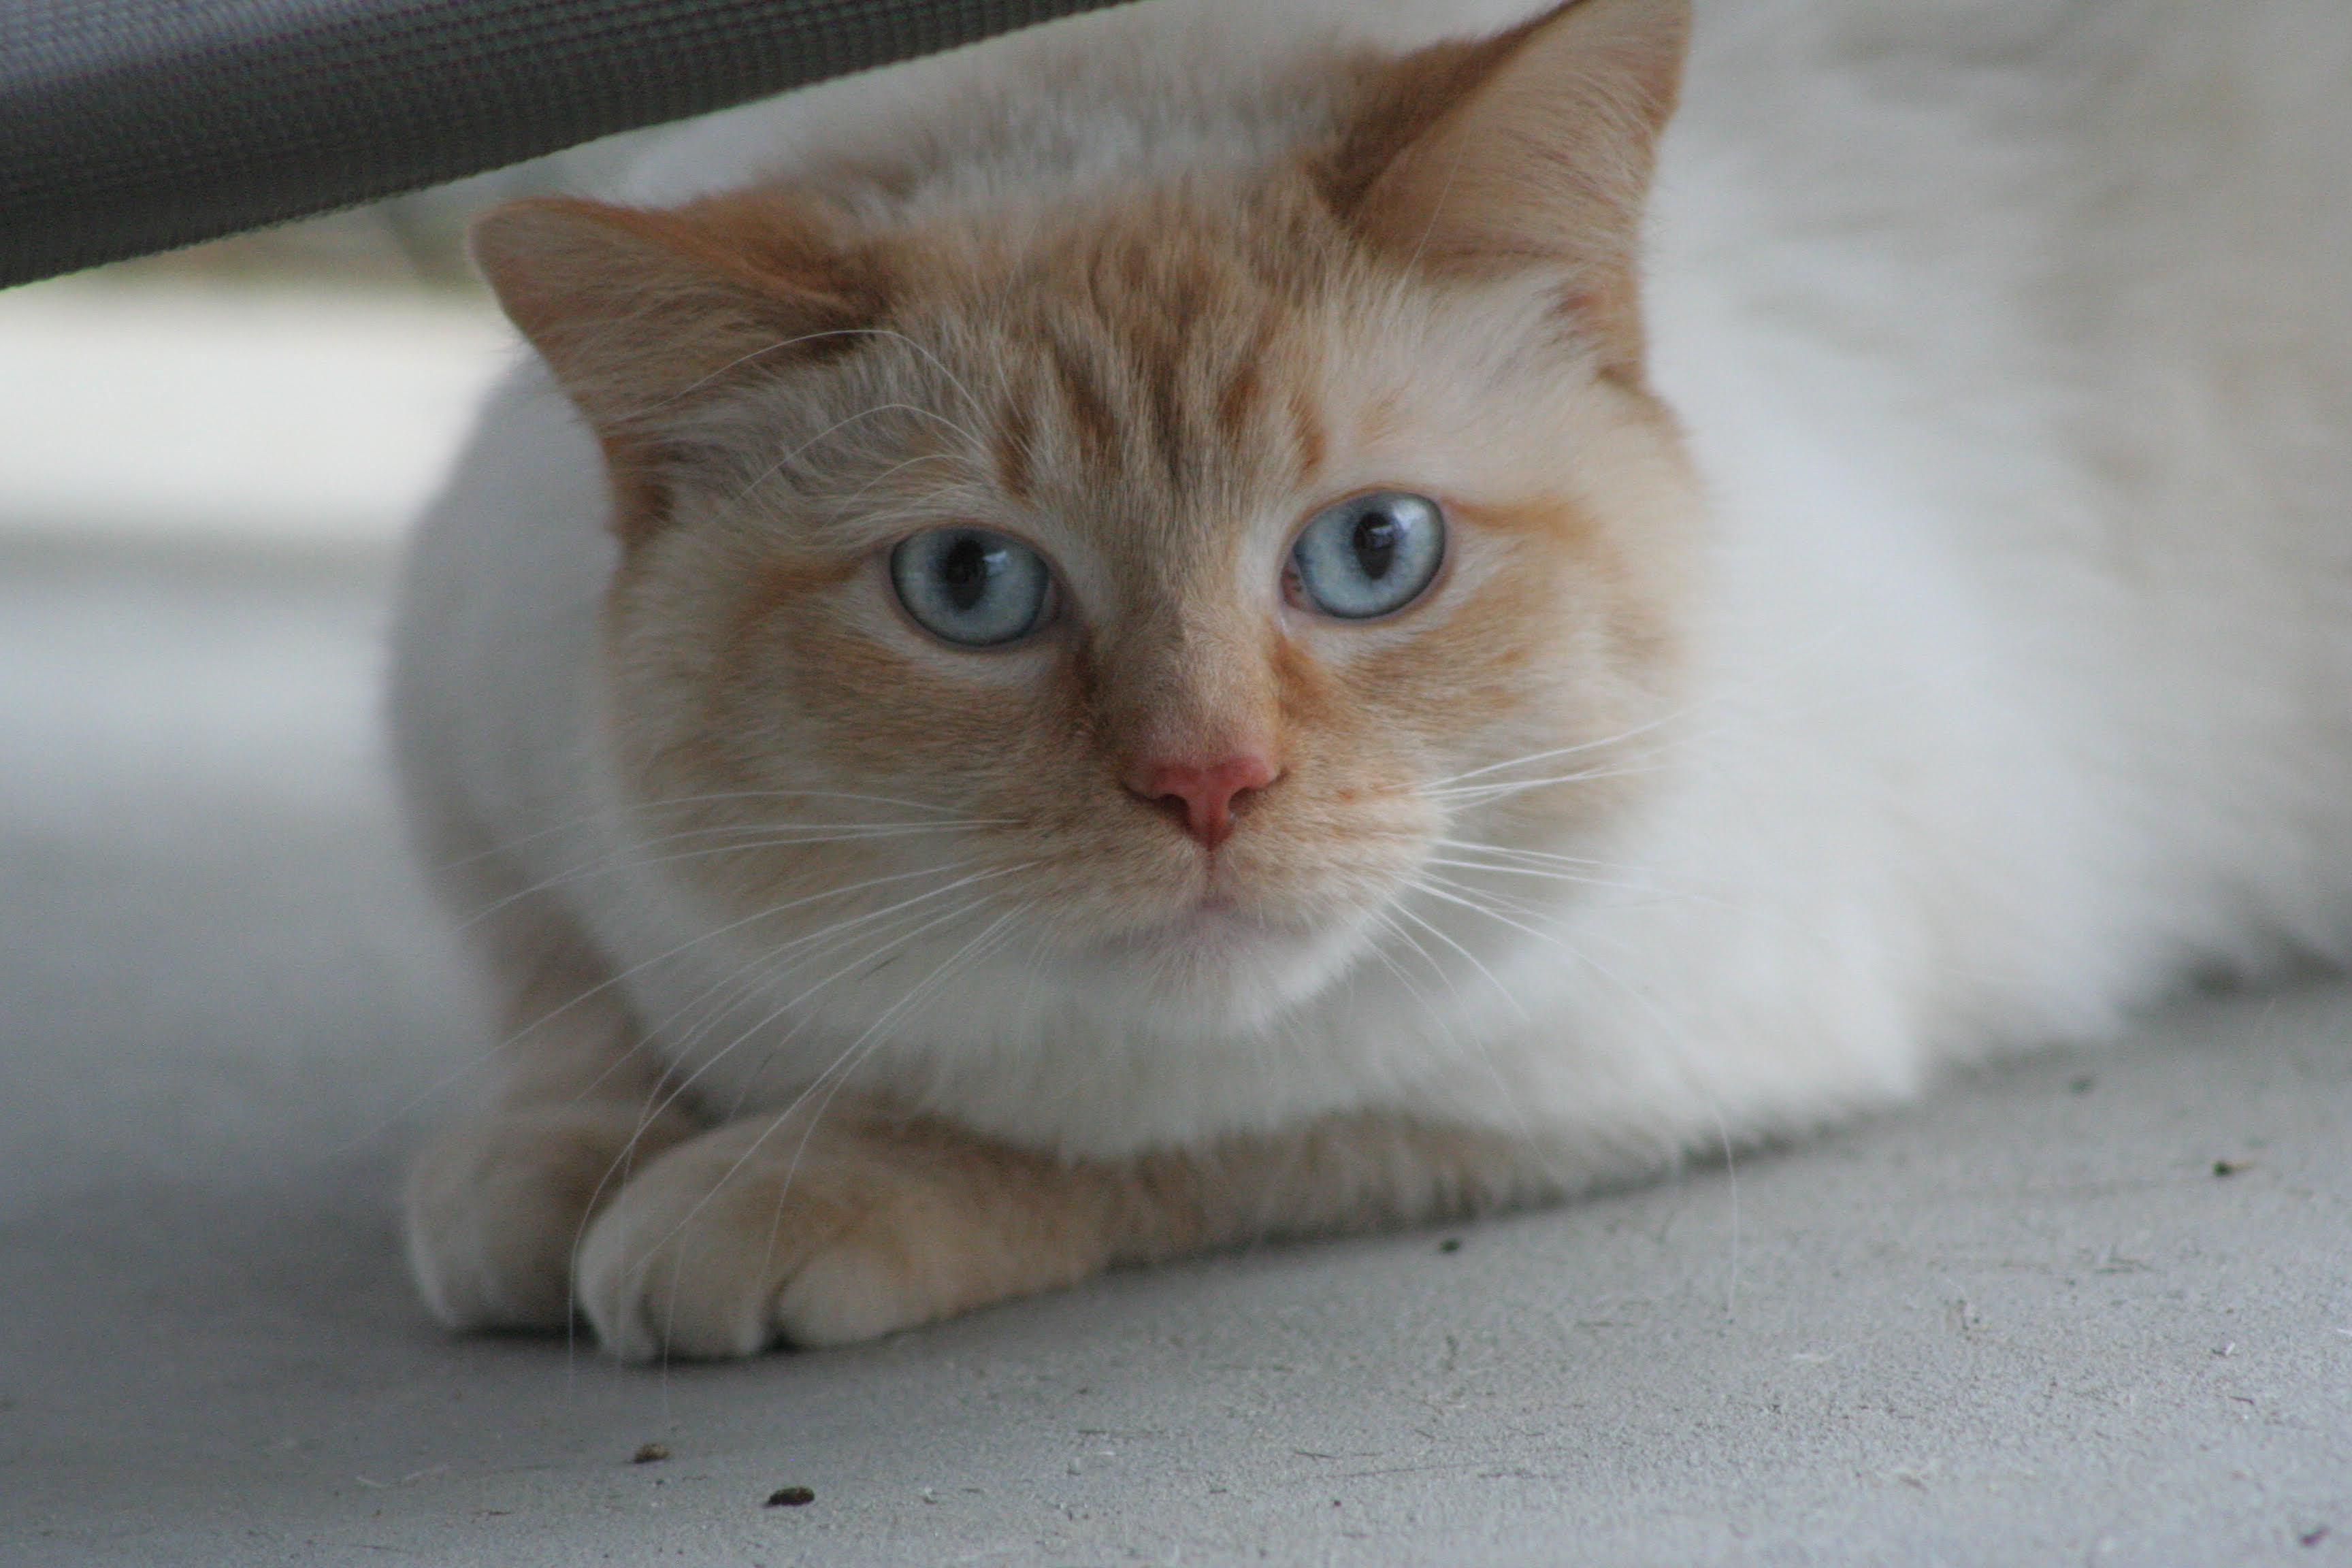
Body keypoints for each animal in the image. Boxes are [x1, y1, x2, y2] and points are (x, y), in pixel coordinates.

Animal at [385, 0, 2352, 1354]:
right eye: (971, 588)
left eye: (1371, 555)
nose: (1209, 786)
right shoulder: (481, 776)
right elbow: (561, 1009)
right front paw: (544, 1172)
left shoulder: (1630, 1038)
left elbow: (1131, 1131)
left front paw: (756, 1191)